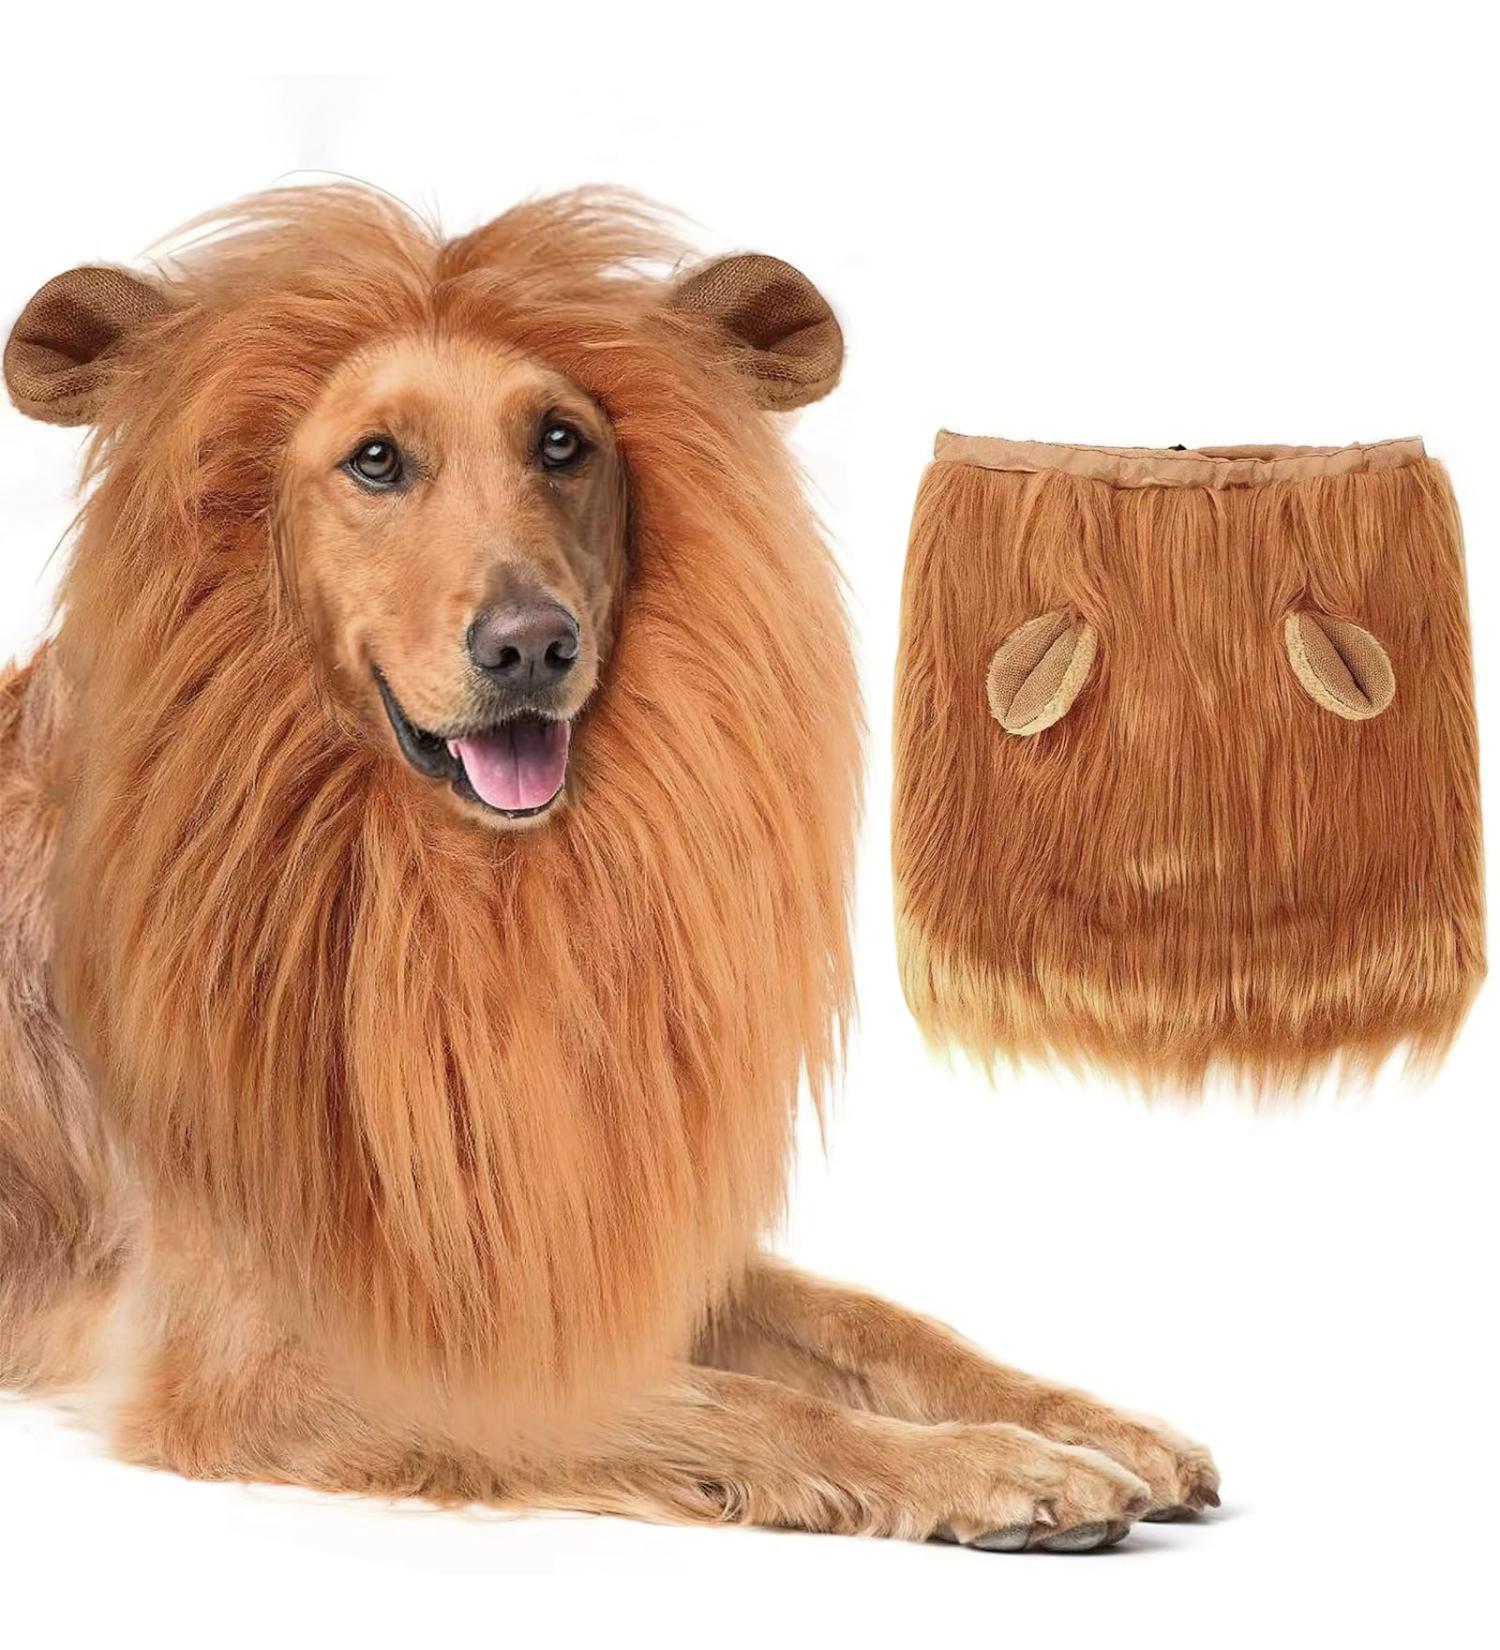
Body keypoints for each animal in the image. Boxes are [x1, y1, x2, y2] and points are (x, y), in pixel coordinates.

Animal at [0, 187, 1217, 1549]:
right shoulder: (264, 1362)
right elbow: (738, 1407)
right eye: (376, 460)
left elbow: (873, 1322)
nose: (534, 646)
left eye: (562, 443)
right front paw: (993, 1468)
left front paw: (1089, 1422)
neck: (454, 894)